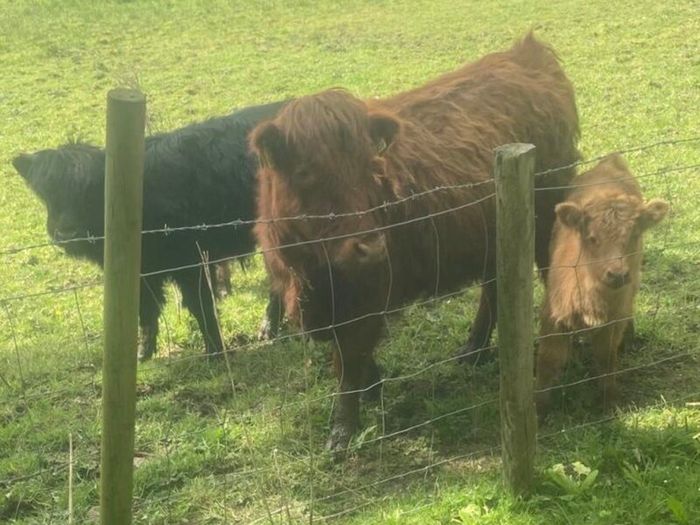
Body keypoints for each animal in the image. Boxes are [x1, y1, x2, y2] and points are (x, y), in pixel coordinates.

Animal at [13, 101, 287, 361]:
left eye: (91, 189)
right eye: (45, 193)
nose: (67, 233)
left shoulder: (188, 261)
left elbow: (200, 305)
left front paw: (214, 351)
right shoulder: (143, 272)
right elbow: (145, 308)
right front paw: (143, 352)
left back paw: (268, 329)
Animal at [251, 33, 580, 450]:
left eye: (371, 168)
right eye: (305, 173)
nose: (370, 247)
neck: (312, 272)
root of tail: (526, 54)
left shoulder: (368, 296)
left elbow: (348, 361)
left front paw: (342, 431)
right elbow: (345, 357)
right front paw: (372, 387)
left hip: (545, 216)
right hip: (495, 235)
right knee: (494, 288)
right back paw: (473, 350)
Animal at [536, 154, 669, 415]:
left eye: (634, 236)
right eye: (592, 238)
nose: (617, 274)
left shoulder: (614, 318)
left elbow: (606, 356)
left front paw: (609, 402)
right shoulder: (553, 314)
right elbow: (549, 358)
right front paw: (539, 409)